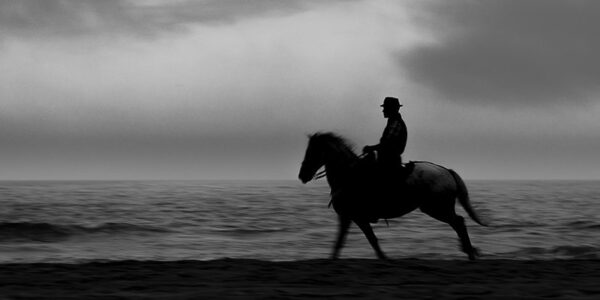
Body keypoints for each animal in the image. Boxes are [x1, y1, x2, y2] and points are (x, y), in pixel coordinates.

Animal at [296, 132, 488, 260]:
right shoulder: (349, 218)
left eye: (312, 151)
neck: (349, 175)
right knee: (458, 223)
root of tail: (446, 171)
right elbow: (342, 241)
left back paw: (470, 253)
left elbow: (370, 240)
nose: (302, 175)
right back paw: (469, 251)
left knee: (459, 222)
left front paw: (384, 258)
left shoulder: (357, 217)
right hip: (437, 209)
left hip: (437, 208)